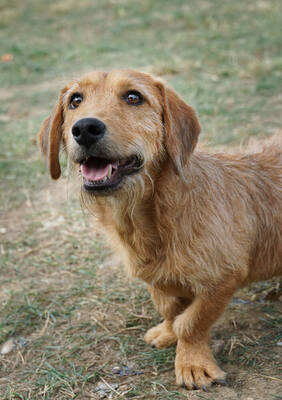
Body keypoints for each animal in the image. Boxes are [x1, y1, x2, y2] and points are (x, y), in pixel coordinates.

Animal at [38, 69, 282, 390]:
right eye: (75, 100)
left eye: (133, 97)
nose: (85, 128)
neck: (157, 214)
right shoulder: (158, 279)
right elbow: (170, 309)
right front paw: (167, 333)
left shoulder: (223, 280)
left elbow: (191, 322)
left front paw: (193, 364)